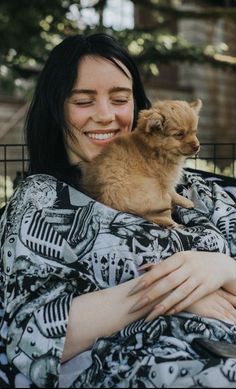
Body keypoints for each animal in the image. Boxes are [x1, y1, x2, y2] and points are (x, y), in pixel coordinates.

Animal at [79, 98, 201, 227]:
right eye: (179, 134)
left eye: (194, 132)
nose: (197, 146)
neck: (156, 149)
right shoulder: (165, 183)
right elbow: (173, 193)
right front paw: (186, 201)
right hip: (160, 198)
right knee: (166, 220)